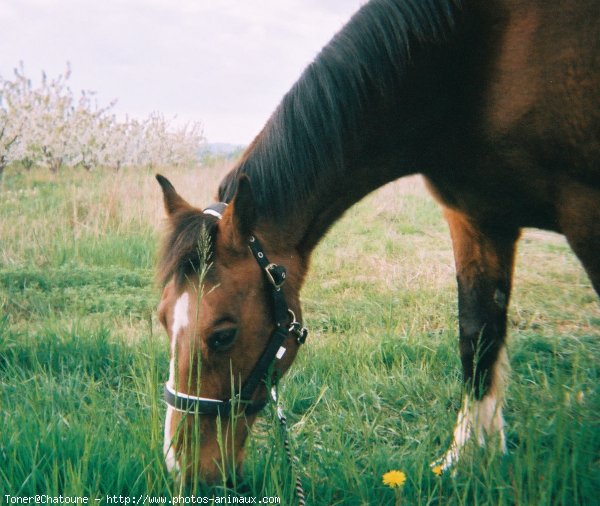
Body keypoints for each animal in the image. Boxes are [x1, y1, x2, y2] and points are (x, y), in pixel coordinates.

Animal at [156, 0, 600, 484]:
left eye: (223, 335)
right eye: (162, 320)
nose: (180, 465)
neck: (476, 61)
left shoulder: (585, 211)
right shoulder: (476, 219)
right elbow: (477, 335)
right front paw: (467, 459)